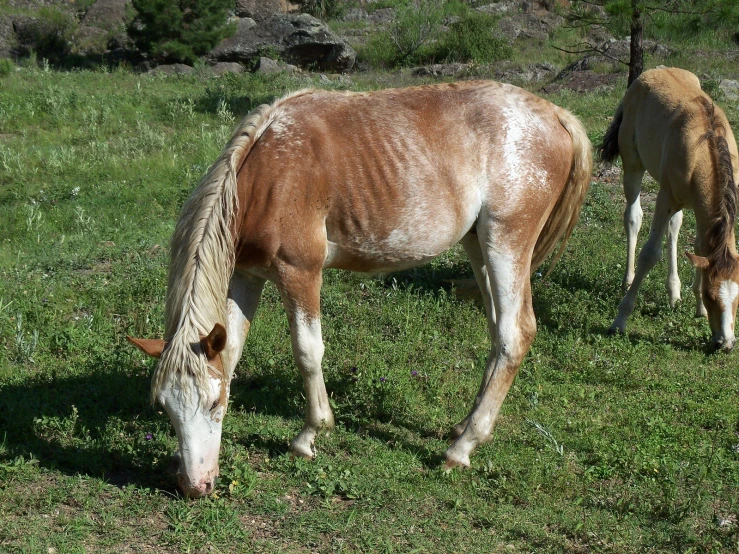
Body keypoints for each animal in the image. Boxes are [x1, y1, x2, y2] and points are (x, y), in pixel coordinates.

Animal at [125, 81, 588, 496]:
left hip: (506, 244)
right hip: (479, 246)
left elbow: (308, 352)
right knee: (497, 332)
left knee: (515, 334)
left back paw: (462, 448)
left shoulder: (300, 273)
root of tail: (556, 115)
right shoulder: (246, 276)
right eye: (164, 407)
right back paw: (463, 427)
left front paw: (309, 435)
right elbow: (233, 353)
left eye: (213, 404)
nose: (194, 486)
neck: (269, 173)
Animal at [600, 67, 739, 348]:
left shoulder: (701, 207)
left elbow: (700, 248)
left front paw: (698, 308)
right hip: (633, 165)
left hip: (683, 201)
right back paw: (627, 281)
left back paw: (674, 292)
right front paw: (619, 320)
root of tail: (654, 71)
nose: (726, 344)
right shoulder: (665, 198)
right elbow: (649, 254)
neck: (703, 149)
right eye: (712, 295)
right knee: (633, 217)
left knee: (674, 228)